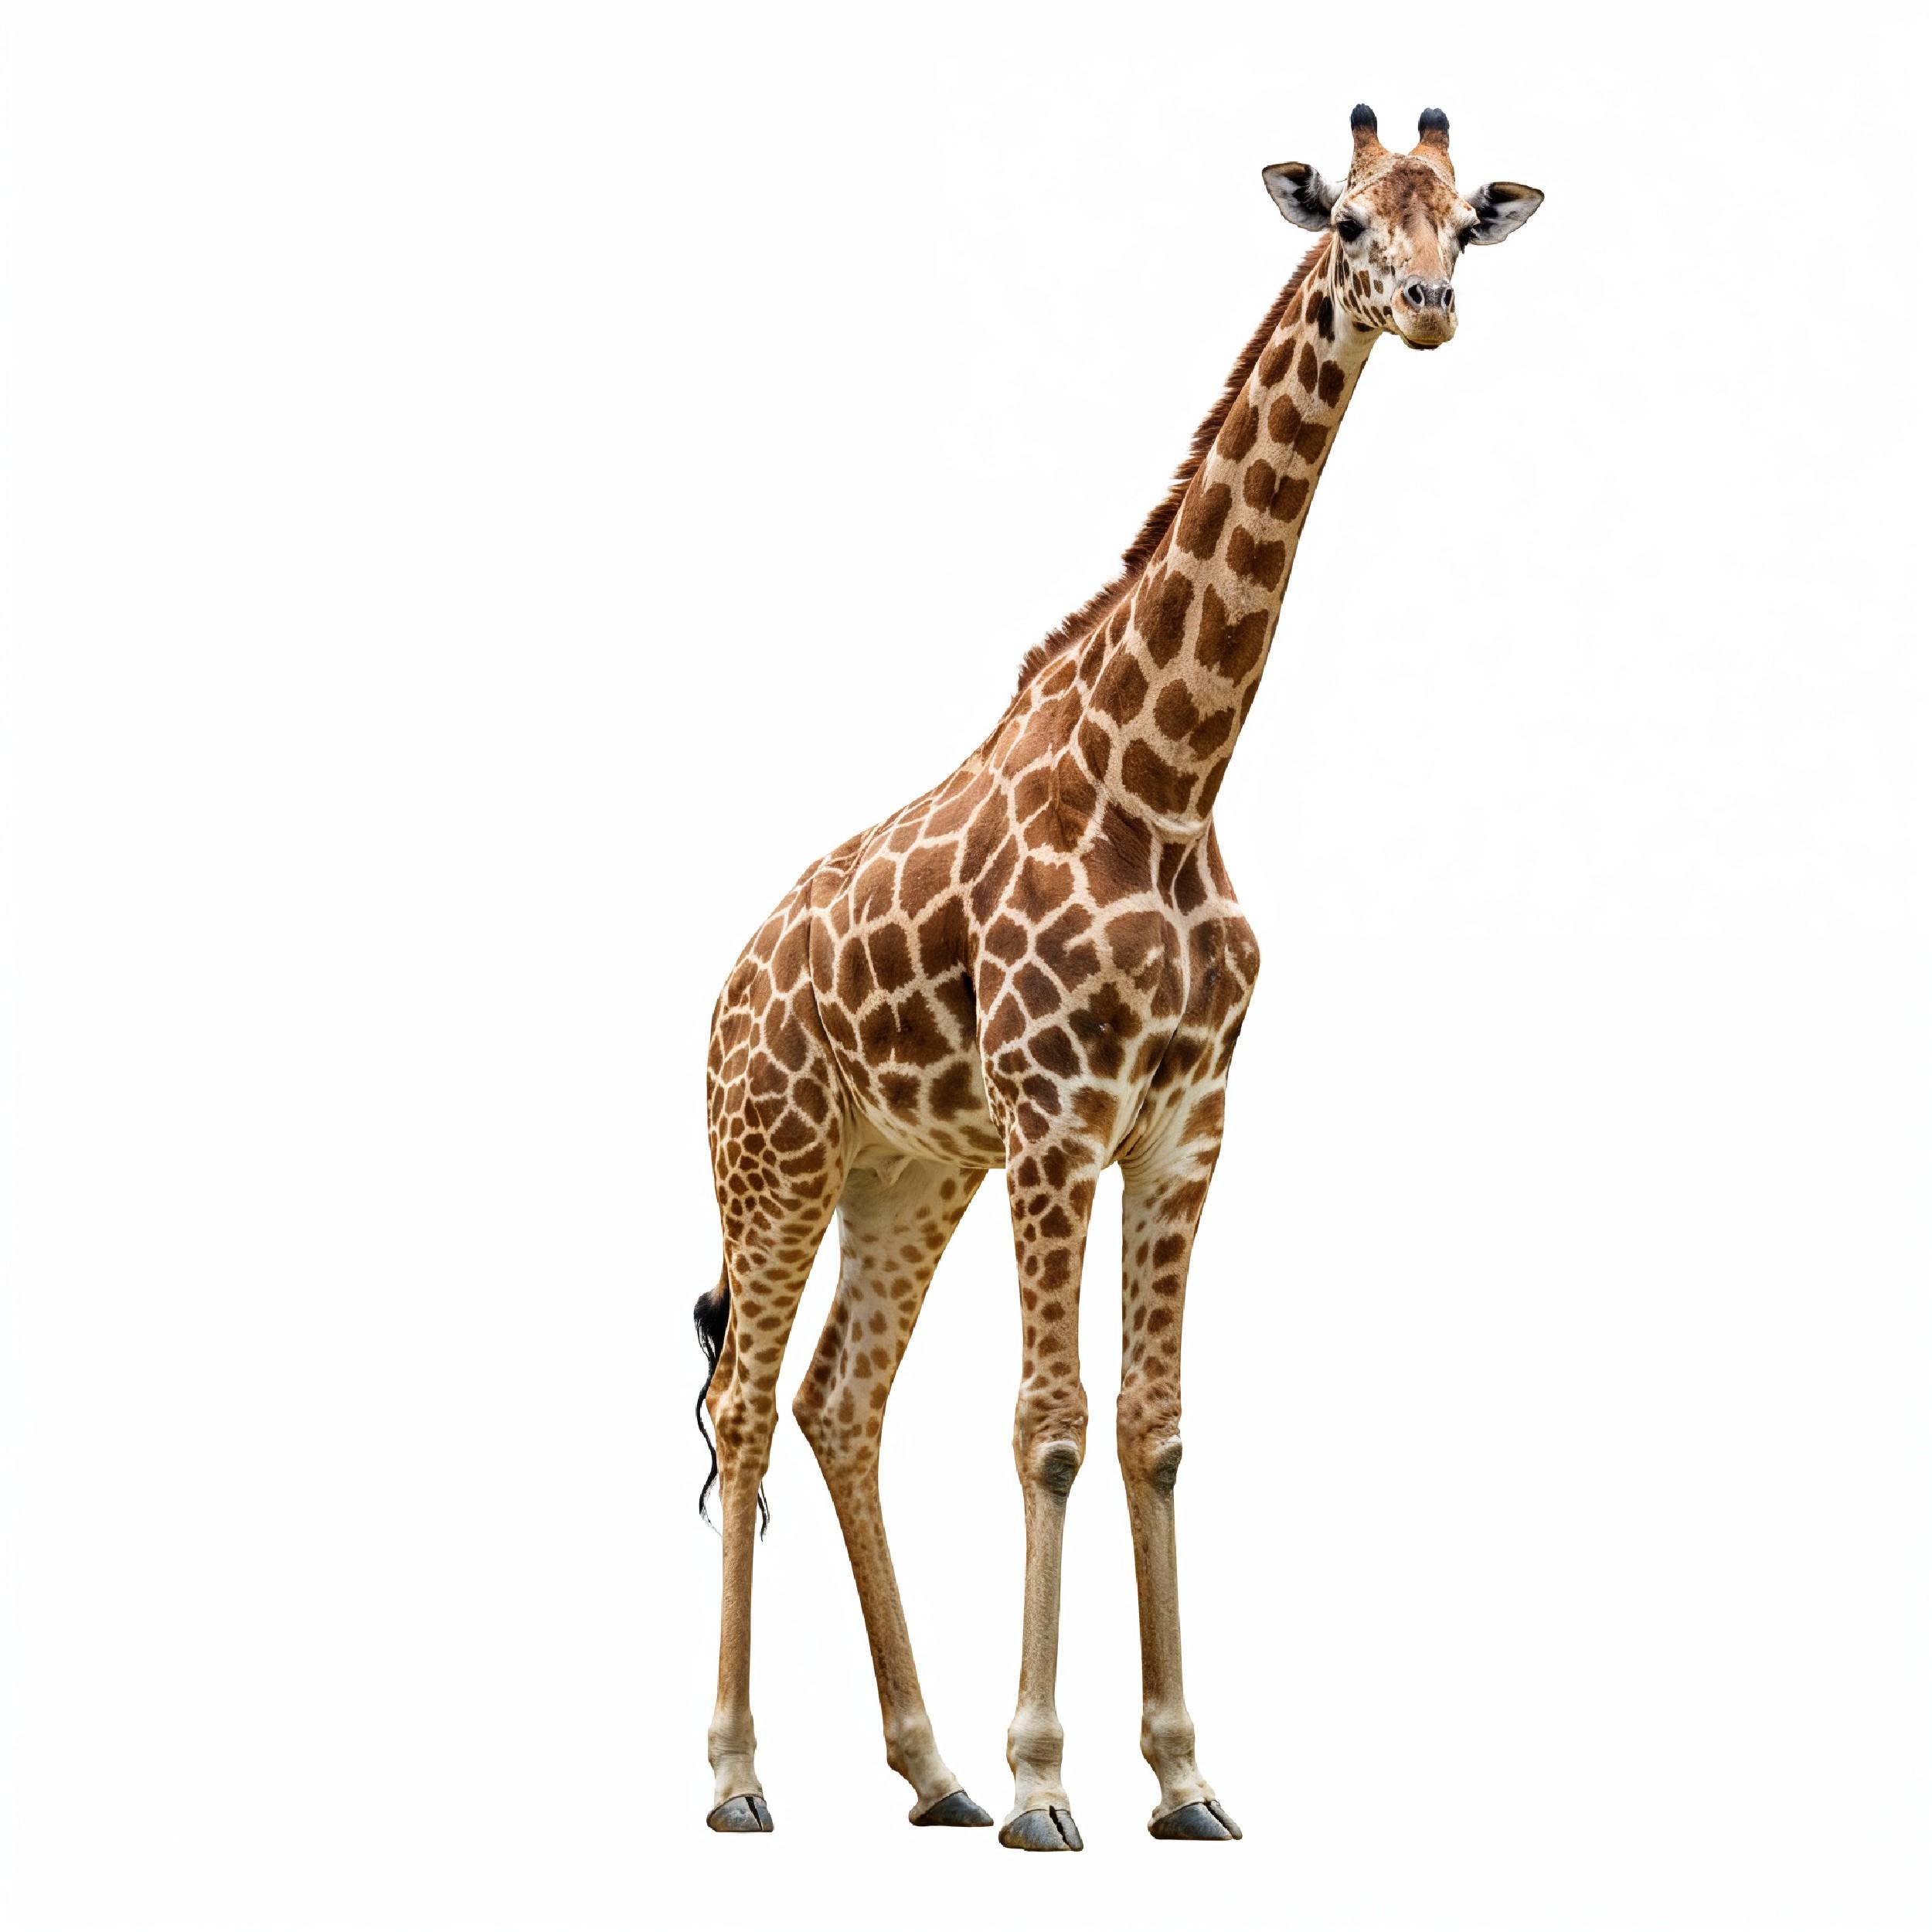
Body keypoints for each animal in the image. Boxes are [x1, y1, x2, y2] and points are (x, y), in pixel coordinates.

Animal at [694, 105, 1543, 1849]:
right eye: (1348, 222)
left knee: (837, 1401)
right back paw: (742, 1775)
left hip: (904, 1172)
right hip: (776, 1159)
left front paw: (1180, 1775)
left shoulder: (1181, 1129)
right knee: (744, 1408)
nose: (1429, 307)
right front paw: (1045, 1780)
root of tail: (719, 1002)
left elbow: (1153, 1432)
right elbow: (1051, 1428)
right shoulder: (1055, 1116)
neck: (1167, 780)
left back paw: (927, 1768)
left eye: (1457, 223)